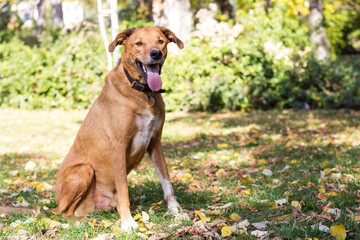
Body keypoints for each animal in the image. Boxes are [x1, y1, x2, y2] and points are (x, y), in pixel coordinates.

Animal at [54, 26, 184, 231]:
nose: (155, 53)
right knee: (65, 213)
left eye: (160, 41)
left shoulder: (155, 142)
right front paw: (128, 222)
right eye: (139, 43)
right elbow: (124, 188)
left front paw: (175, 210)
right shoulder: (118, 145)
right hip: (84, 170)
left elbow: (166, 180)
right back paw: (81, 223)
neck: (143, 92)